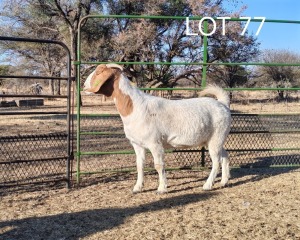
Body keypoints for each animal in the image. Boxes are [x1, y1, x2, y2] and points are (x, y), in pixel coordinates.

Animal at [84, 63, 232, 193]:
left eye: (98, 72)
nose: (84, 85)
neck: (135, 107)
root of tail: (223, 104)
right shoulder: (137, 144)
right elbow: (139, 165)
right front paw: (137, 188)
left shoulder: (155, 143)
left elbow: (158, 165)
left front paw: (162, 188)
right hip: (214, 139)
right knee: (224, 155)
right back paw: (223, 181)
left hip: (216, 137)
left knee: (216, 161)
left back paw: (207, 185)